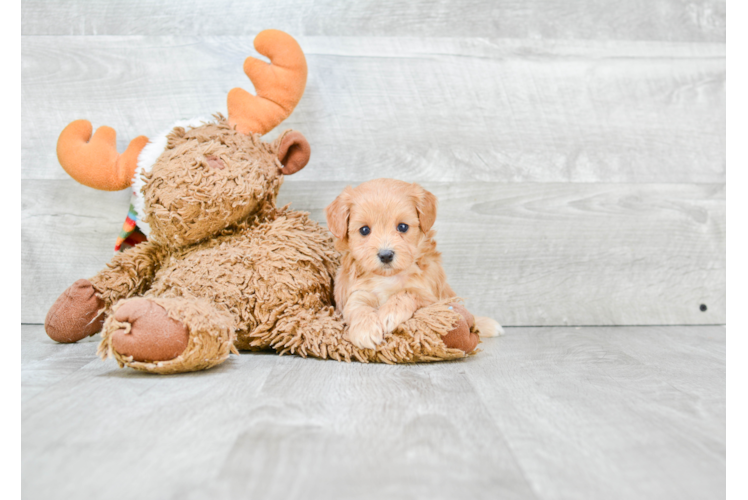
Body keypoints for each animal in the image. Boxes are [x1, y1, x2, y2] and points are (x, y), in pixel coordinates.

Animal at [322, 178, 502, 350]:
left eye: (402, 227)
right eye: (364, 230)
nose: (386, 255)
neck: (389, 277)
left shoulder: (431, 297)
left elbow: (409, 291)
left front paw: (390, 313)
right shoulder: (354, 290)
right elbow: (357, 302)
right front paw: (365, 329)